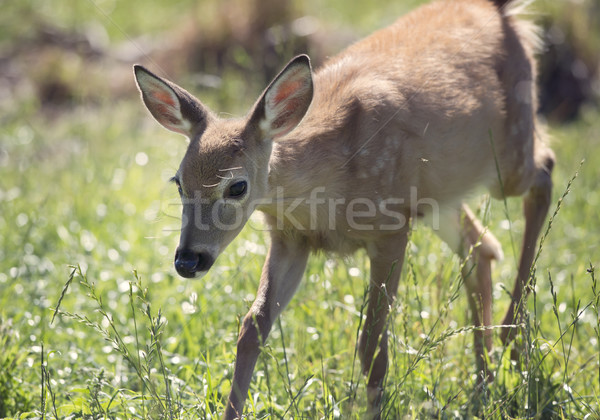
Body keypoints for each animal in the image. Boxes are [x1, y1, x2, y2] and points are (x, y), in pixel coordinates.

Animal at [134, 0, 556, 416]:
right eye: (178, 182)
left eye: (237, 186)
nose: (188, 260)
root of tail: (500, 11)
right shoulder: (290, 238)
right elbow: (252, 327)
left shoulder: (391, 228)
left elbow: (372, 346)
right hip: (439, 197)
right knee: (481, 245)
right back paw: (485, 381)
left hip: (507, 162)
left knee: (544, 170)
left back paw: (512, 339)